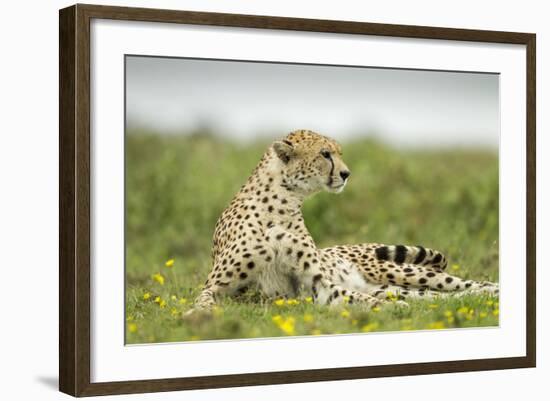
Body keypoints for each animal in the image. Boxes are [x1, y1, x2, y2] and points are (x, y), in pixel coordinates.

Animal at [189, 130, 500, 310]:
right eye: (325, 154)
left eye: (339, 153)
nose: (347, 173)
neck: (282, 203)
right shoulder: (218, 285)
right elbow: (202, 299)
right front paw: (197, 315)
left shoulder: (318, 284)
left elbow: (358, 297)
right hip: (403, 288)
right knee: (442, 297)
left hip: (401, 272)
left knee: (469, 284)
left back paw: (492, 291)